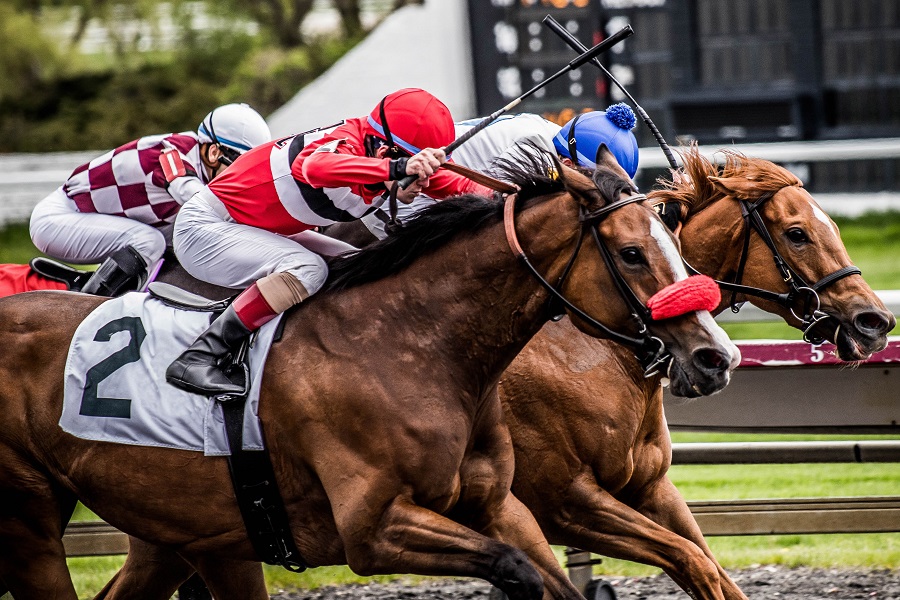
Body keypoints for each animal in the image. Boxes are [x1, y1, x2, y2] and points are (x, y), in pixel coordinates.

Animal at [110, 146, 892, 600]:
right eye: (796, 232)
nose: (874, 320)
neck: (585, 352)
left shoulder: (647, 488)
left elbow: (709, 569)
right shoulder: (567, 501)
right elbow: (688, 562)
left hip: (188, 528)